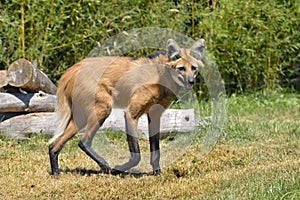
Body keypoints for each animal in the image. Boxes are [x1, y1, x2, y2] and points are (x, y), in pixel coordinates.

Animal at [48, 38, 206, 176]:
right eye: (181, 68)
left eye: (193, 68)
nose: (191, 81)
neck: (161, 76)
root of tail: (70, 70)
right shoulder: (130, 113)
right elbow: (136, 155)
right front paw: (118, 169)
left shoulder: (154, 115)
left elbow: (155, 150)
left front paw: (157, 173)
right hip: (103, 109)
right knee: (83, 142)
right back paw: (105, 167)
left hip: (80, 118)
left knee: (54, 145)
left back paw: (56, 173)